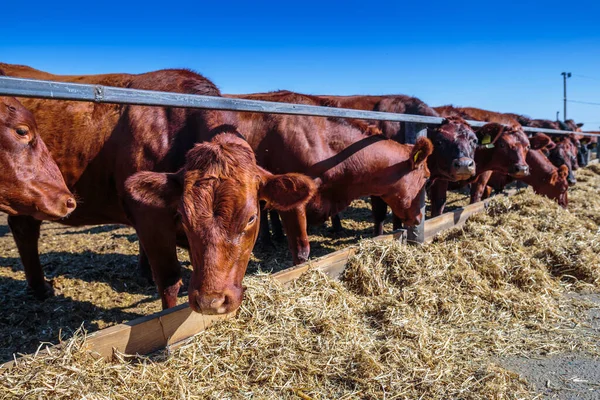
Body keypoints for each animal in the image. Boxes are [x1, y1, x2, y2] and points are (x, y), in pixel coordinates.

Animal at [2, 65, 314, 316]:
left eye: (251, 218)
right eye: (184, 217)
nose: (211, 302)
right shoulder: (151, 219)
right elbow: (169, 281)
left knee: (24, 229)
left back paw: (40, 287)